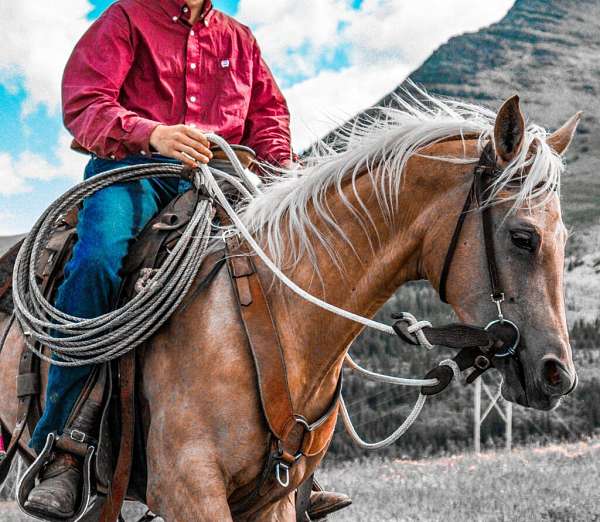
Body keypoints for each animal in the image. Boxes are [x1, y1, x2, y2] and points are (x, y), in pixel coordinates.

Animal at [0, 91, 580, 516]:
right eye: (523, 237)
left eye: (565, 237)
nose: (558, 375)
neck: (276, 319)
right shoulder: (191, 492)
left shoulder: (271, 500)